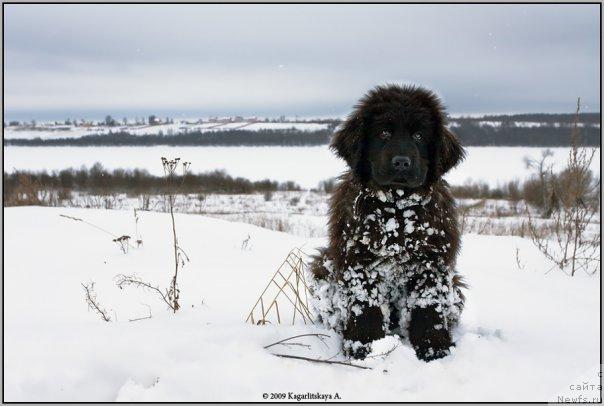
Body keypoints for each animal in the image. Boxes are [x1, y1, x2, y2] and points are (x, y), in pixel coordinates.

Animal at [310, 84, 470, 360]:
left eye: (419, 136)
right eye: (383, 132)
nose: (402, 163)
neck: (396, 209)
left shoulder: (431, 261)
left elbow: (428, 307)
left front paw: (434, 348)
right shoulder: (357, 259)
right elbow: (365, 305)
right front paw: (365, 346)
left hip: (455, 285)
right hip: (324, 264)